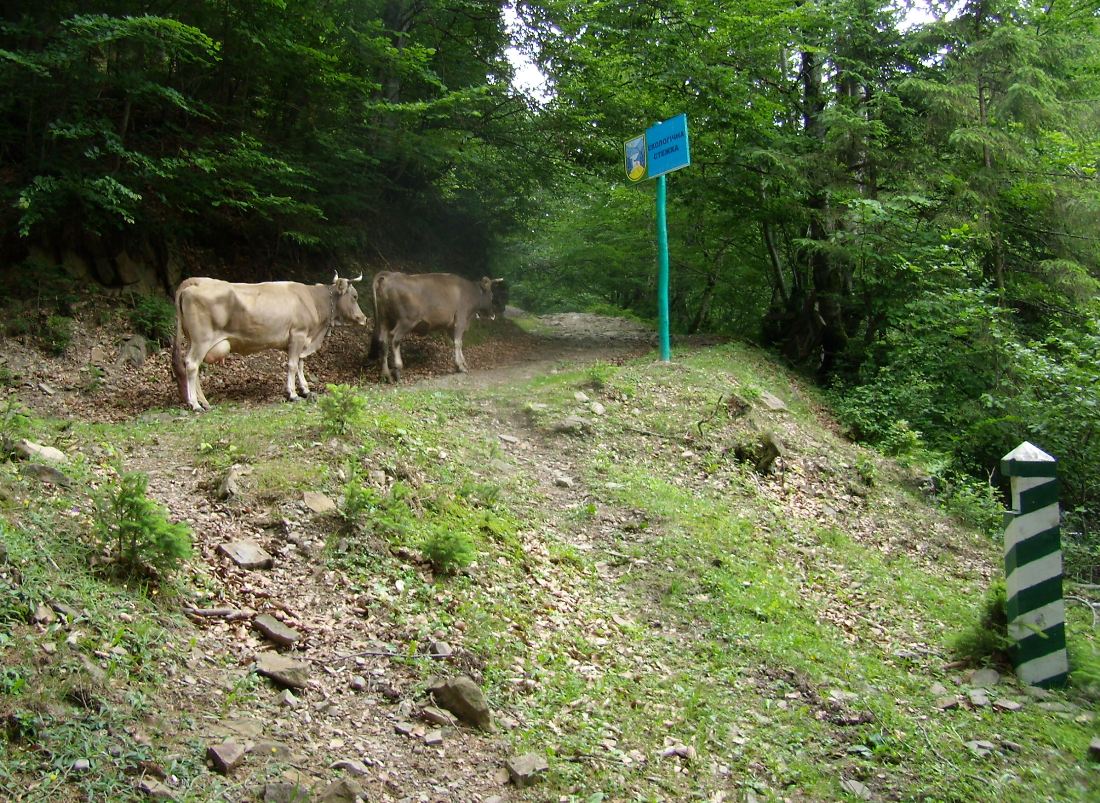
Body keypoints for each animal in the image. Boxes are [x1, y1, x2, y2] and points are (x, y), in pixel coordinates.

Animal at [171, 271, 367, 409]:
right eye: (355, 296)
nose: (364, 318)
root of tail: (196, 281)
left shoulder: (303, 340)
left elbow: (301, 364)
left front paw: (305, 389)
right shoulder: (298, 335)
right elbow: (292, 365)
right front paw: (292, 394)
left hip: (194, 341)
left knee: (192, 366)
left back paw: (204, 402)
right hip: (202, 340)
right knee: (192, 365)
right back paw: (195, 404)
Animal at [369, 270, 506, 380]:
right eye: (492, 296)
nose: (493, 315)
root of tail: (390, 275)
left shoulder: (451, 326)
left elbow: (457, 343)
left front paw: (462, 363)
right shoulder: (460, 320)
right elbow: (458, 343)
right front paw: (461, 366)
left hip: (384, 320)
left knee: (383, 341)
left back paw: (386, 374)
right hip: (406, 321)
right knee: (395, 339)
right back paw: (397, 369)